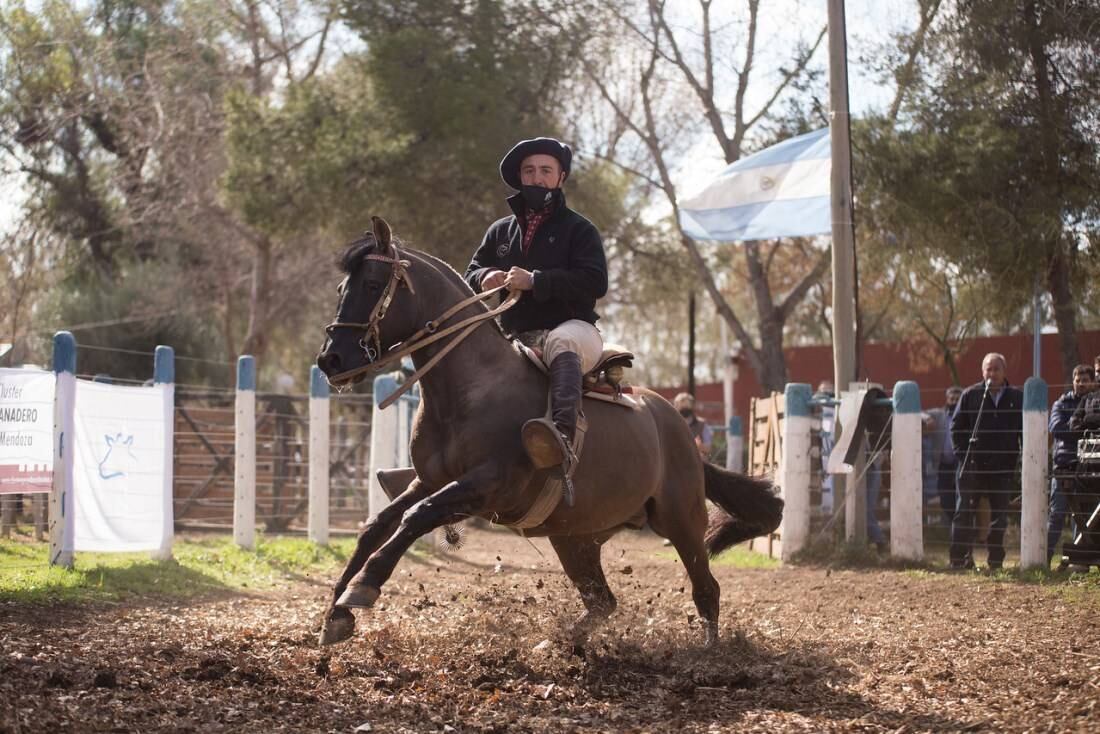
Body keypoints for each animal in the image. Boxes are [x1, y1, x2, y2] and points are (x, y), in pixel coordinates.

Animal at [314, 216, 787, 647]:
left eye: (372, 283)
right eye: (341, 289)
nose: (330, 360)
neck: (470, 388)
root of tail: (679, 431)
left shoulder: (486, 485)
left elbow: (415, 516)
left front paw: (363, 587)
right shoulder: (431, 482)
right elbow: (379, 523)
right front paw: (335, 612)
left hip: (681, 520)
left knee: (707, 589)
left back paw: (707, 652)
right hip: (575, 540)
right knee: (603, 602)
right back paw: (560, 643)